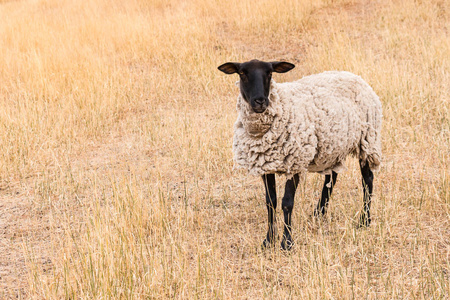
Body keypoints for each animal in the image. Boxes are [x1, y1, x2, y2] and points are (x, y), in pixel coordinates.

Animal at [220, 59, 382, 251]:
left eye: (270, 73)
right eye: (242, 73)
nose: (260, 101)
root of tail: (352, 75)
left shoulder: (295, 162)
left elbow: (287, 203)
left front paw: (287, 243)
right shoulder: (266, 164)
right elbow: (270, 202)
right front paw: (268, 241)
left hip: (367, 140)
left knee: (368, 180)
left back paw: (364, 220)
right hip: (332, 147)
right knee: (331, 180)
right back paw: (319, 214)